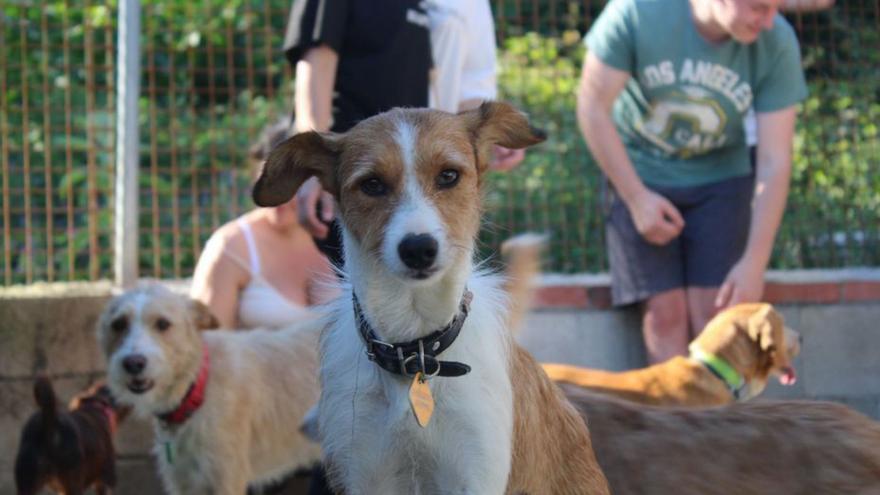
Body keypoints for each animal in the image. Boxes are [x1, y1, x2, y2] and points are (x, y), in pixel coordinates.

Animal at [94, 286, 324, 495]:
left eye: (163, 323)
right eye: (118, 324)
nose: (133, 363)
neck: (197, 388)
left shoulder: (227, 480)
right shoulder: (184, 482)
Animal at [254, 102, 612, 494]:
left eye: (448, 176)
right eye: (372, 184)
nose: (418, 249)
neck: (414, 351)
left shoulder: (475, 475)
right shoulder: (364, 472)